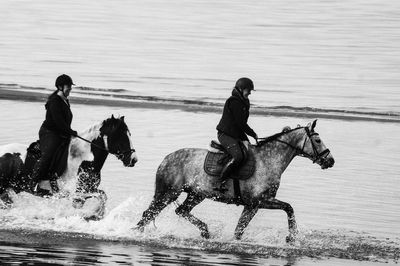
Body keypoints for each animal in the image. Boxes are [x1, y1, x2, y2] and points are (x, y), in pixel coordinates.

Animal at [138, 120, 334, 241]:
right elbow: (289, 208)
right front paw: (291, 237)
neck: (269, 159)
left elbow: (239, 229)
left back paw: (205, 231)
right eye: (317, 140)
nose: (330, 161)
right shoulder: (259, 201)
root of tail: (166, 159)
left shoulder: (253, 205)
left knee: (180, 211)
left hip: (196, 194)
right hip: (168, 193)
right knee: (149, 214)